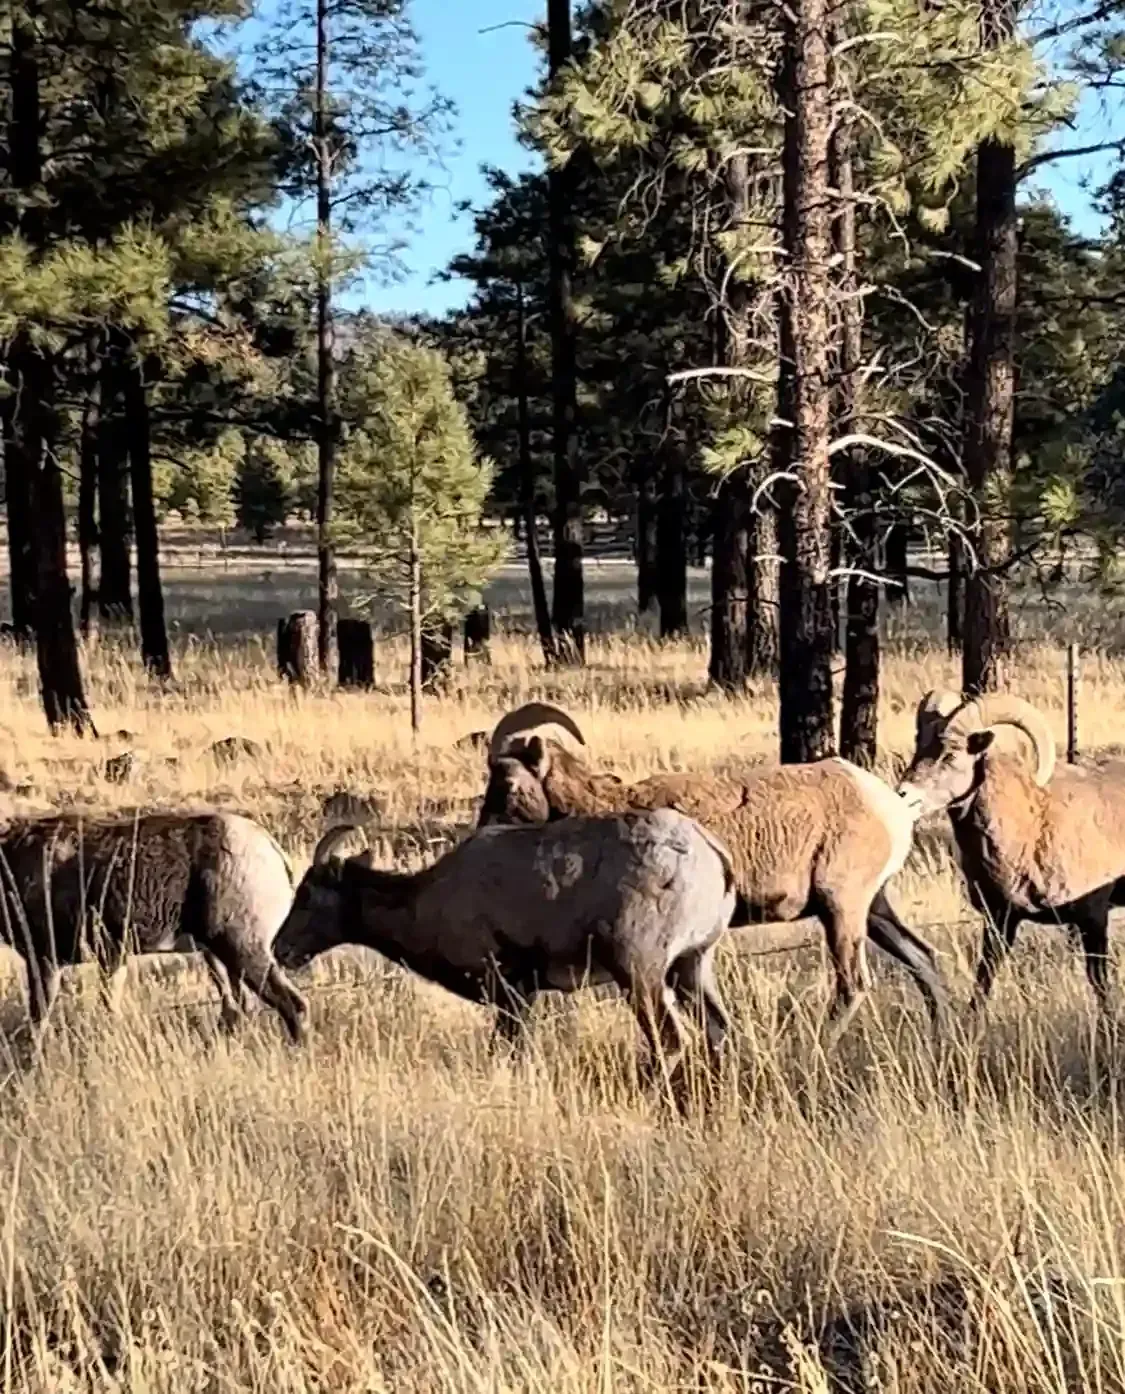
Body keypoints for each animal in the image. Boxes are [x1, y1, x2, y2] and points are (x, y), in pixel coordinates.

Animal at [0, 811, 308, 1040]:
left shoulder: (45, 959)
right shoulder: (113, 958)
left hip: (242, 948)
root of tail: (273, 850)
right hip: (220, 956)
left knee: (294, 1006)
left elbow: (38, 1023)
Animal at [273, 810, 743, 1081]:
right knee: (718, 1031)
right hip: (692, 967)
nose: (280, 949)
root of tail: (712, 854)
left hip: (641, 976)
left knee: (671, 1041)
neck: (431, 898)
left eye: (308, 894)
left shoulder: (509, 992)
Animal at [478, 703, 949, 1040]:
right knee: (923, 958)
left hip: (842, 910)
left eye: (508, 784)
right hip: (873, 910)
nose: (484, 833)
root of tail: (888, 804)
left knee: (852, 984)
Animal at [899, 690, 1125, 1014]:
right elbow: (983, 982)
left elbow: (1100, 985)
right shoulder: (1000, 921)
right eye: (919, 746)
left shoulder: (1093, 918)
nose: (904, 794)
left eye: (950, 754)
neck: (1032, 830)